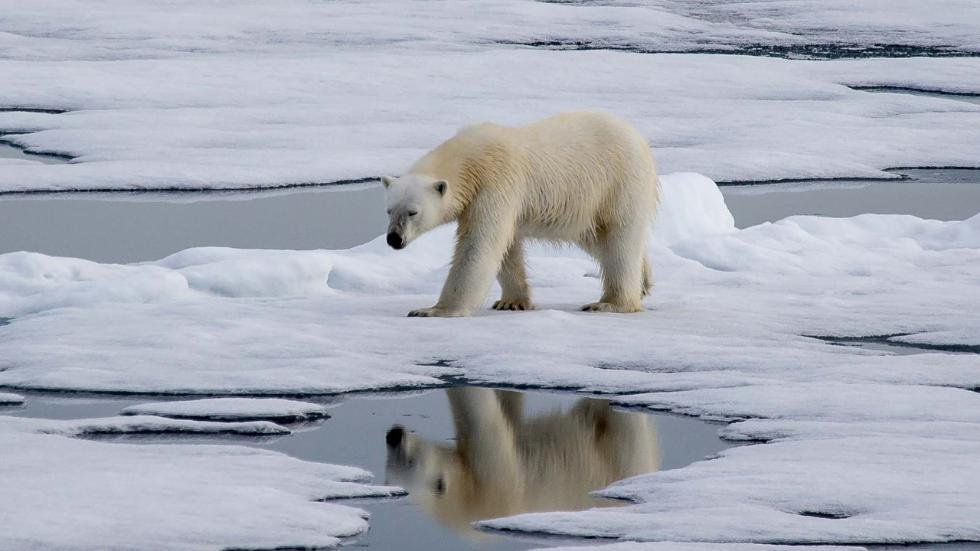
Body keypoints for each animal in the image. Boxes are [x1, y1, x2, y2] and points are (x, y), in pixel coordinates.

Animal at [382, 110, 661, 317]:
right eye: (388, 210)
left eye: (413, 212)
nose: (394, 239)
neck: (471, 159)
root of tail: (639, 138)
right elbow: (506, 246)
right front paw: (511, 302)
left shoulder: (496, 183)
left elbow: (479, 245)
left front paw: (432, 309)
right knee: (597, 239)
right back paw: (644, 281)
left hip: (619, 183)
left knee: (618, 239)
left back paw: (610, 303)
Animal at [384, 387, 660, 534]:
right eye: (389, 469)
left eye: (409, 462)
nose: (393, 435)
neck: (462, 498)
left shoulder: (494, 482)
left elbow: (485, 421)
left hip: (620, 456)